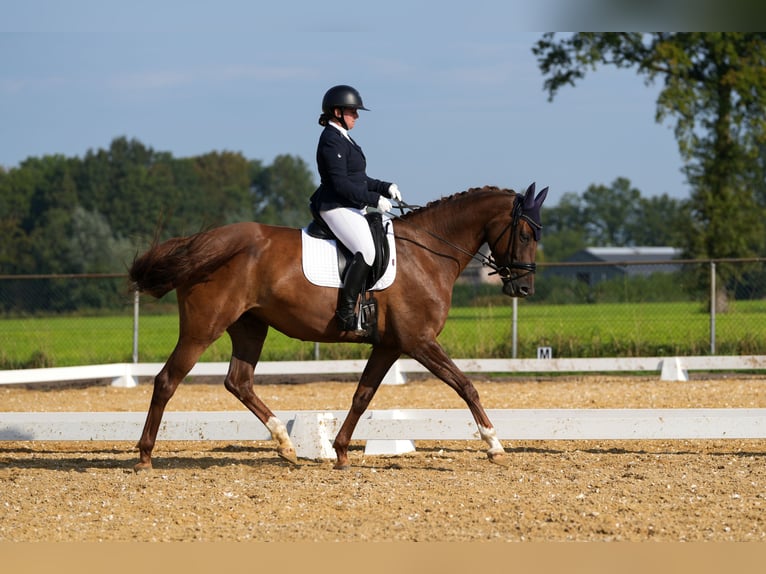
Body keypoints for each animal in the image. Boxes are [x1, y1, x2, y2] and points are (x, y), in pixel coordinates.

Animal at [134, 182, 552, 470]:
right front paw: (495, 445)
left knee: (239, 382)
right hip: (204, 328)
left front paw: (341, 452)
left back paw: (286, 446)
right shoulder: (419, 341)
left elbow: (362, 396)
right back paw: (144, 456)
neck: (426, 254)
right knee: (168, 380)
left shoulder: (389, 346)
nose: (524, 288)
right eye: (525, 234)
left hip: (249, 327)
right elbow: (466, 386)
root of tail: (205, 242)